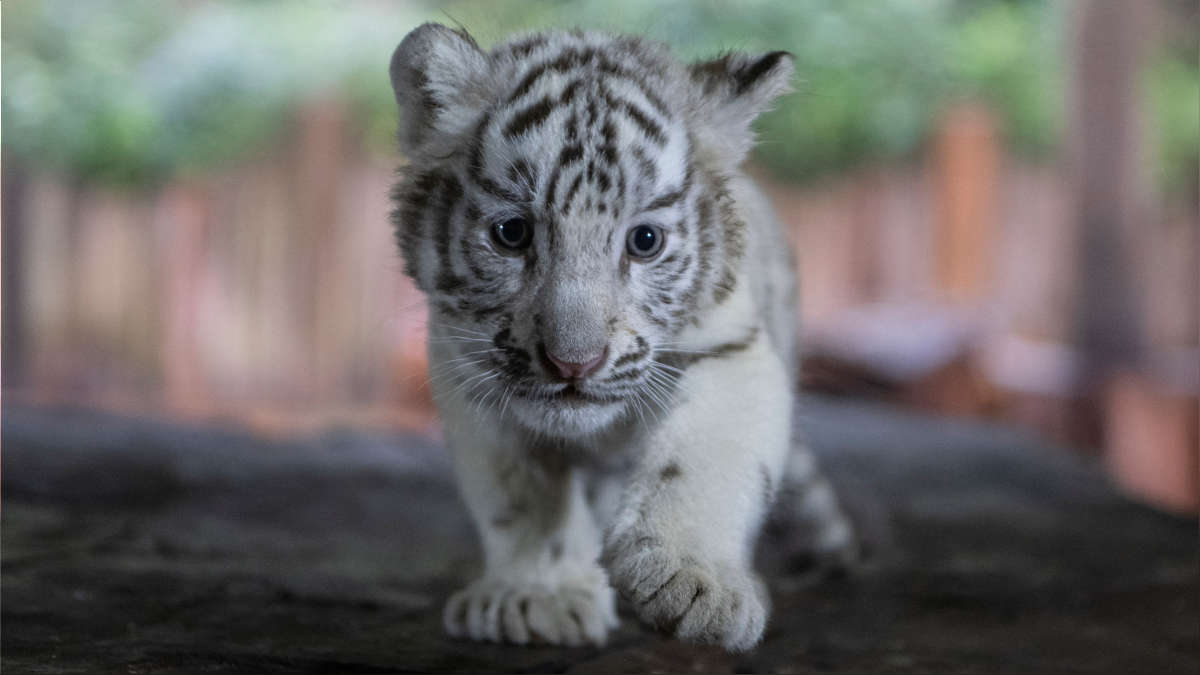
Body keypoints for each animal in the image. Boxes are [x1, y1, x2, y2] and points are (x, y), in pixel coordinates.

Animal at [388, 23, 855, 652]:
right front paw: (538, 595)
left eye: (645, 241)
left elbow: (705, 460)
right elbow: (521, 496)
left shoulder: (731, 347)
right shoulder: (469, 370)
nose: (573, 363)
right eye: (511, 233)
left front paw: (694, 584)